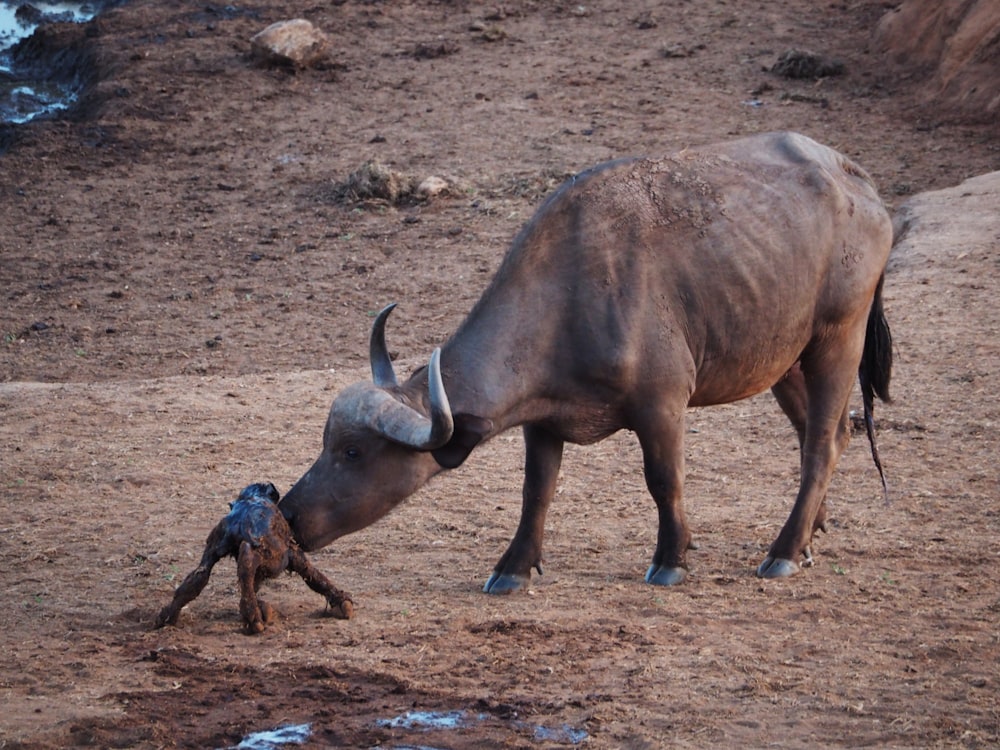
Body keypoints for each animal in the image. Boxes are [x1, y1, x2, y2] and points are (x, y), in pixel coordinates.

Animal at [154, 482, 354, 636]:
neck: (253, 497)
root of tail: (242, 519)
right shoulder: (292, 553)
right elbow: (312, 574)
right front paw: (343, 602)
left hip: (213, 548)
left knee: (198, 578)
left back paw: (166, 617)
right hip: (273, 559)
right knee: (247, 564)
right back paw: (254, 618)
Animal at [280, 131, 892, 592]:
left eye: (353, 452)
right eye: (325, 444)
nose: (287, 514)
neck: (571, 293)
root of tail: (853, 177)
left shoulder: (663, 406)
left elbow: (663, 479)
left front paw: (671, 558)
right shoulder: (543, 421)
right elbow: (536, 491)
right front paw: (513, 567)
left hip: (839, 338)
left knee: (821, 442)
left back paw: (784, 550)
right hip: (783, 359)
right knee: (825, 434)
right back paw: (809, 534)